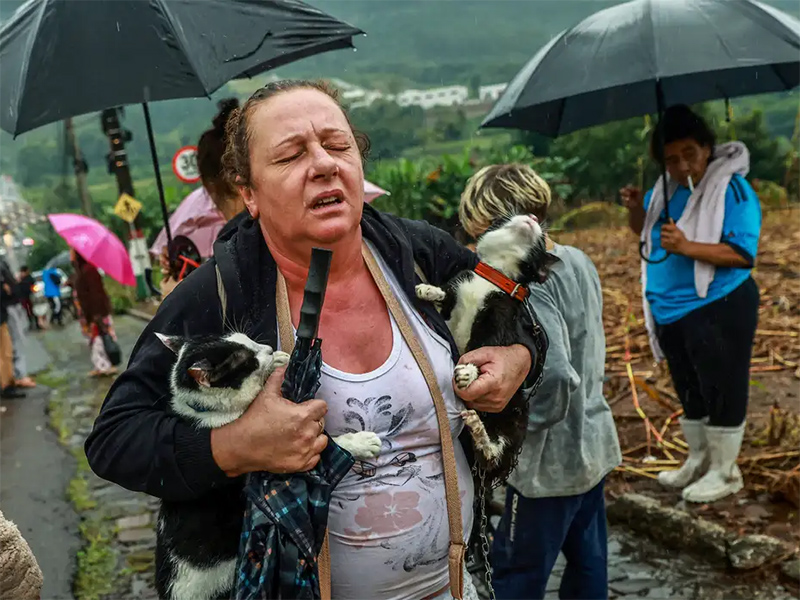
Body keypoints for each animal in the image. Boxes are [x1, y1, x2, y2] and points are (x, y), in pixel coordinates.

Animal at [155, 332, 382, 600]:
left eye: (247, 339)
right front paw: (361, 442)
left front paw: (280, 360)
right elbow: (329, 445)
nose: (268, 349)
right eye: (247, 361)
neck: (210, 412)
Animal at [412, 216, 552, 488]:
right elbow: (445, 298)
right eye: (509, 217)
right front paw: (429, 290)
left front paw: (469, 372)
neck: (494, 277)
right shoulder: (457, 293)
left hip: (515, 419)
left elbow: (486, 347)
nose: (532, 218)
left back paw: (479, 431)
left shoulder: (500, 318)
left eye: (541, 241)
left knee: (492, 455)